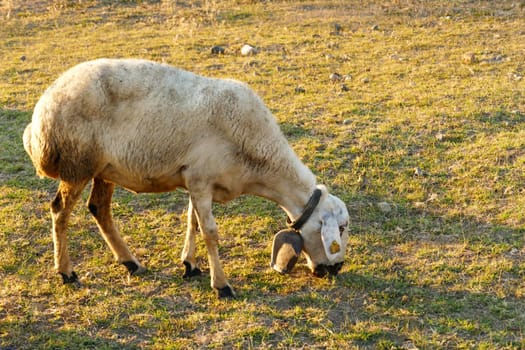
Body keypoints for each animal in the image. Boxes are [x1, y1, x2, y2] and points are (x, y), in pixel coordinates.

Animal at [23, 59, 348, 298]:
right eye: (342, 228)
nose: (337, 269)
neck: (260, 157)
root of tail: (40, 114)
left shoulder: (195, 179)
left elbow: (192, 221)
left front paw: (190, 264)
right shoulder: (201, 181)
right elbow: (210, 233)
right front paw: (222, 285)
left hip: (104, 168)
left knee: (99, 209)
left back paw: (130, 262)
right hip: (77, 165)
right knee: (60, 211)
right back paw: (66, 272)